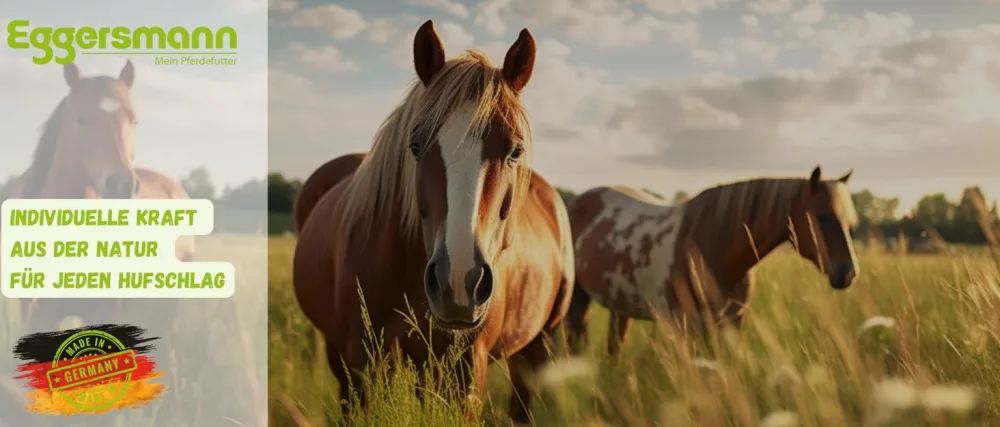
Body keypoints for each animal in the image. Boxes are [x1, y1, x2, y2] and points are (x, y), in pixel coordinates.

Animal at [292, 20, 575, 424]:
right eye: (416, 146)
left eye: (515, 151)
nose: (458, 282)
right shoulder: (363, 362)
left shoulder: (466, 370)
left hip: (538, 346)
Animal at [564, 166, 860, 356]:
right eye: (821, 216)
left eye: (849, 221)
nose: (848, 273)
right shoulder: (685, 328)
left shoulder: (731, 324)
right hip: (577, 301)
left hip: (620, 307)